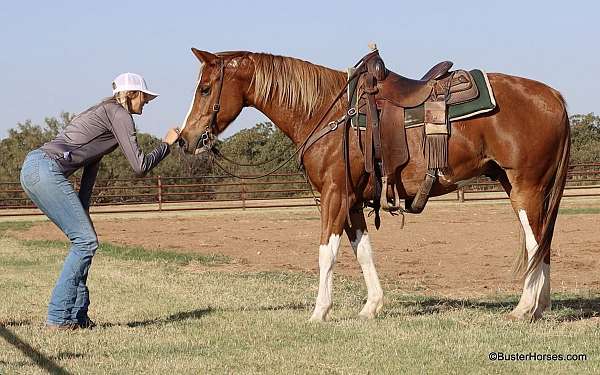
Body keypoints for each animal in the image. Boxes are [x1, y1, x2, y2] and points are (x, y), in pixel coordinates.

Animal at [177, 49, 568, 324]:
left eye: (205, 89)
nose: (185, 140)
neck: (326, 112)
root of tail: (553, 96)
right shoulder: (351, 201)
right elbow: (363, 251)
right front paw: (372, 307)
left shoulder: (334, 195)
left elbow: (327, 253)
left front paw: (319, 312)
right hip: (520, 186)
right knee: (543, 243)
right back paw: (539, 307)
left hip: (526, 188)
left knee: (535, 243)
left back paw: (524, 308)